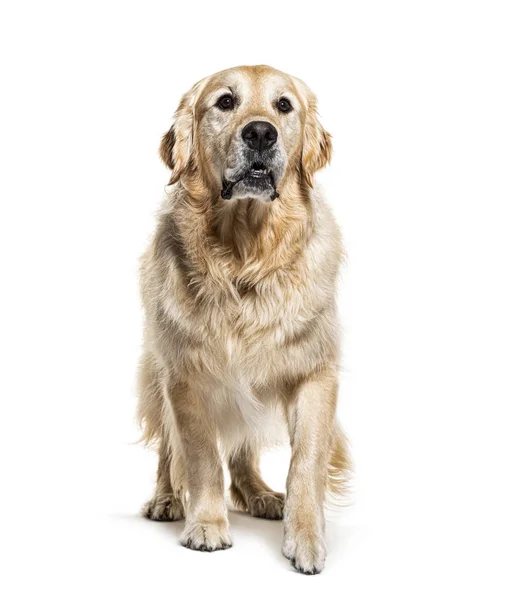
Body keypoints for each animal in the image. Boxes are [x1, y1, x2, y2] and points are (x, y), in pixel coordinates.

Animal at [137, 63, 350, 576]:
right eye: (225, 102)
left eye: (284, 105)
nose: (259, 133)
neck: (245, 258)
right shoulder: (185, 375)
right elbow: (198, 456)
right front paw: (207, 524)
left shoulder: (315, 372)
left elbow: (306, 461)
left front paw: (306, 538)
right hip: (156, 368)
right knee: (169, 448)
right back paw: (167, 499)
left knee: (242, 451)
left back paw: (259, 495)